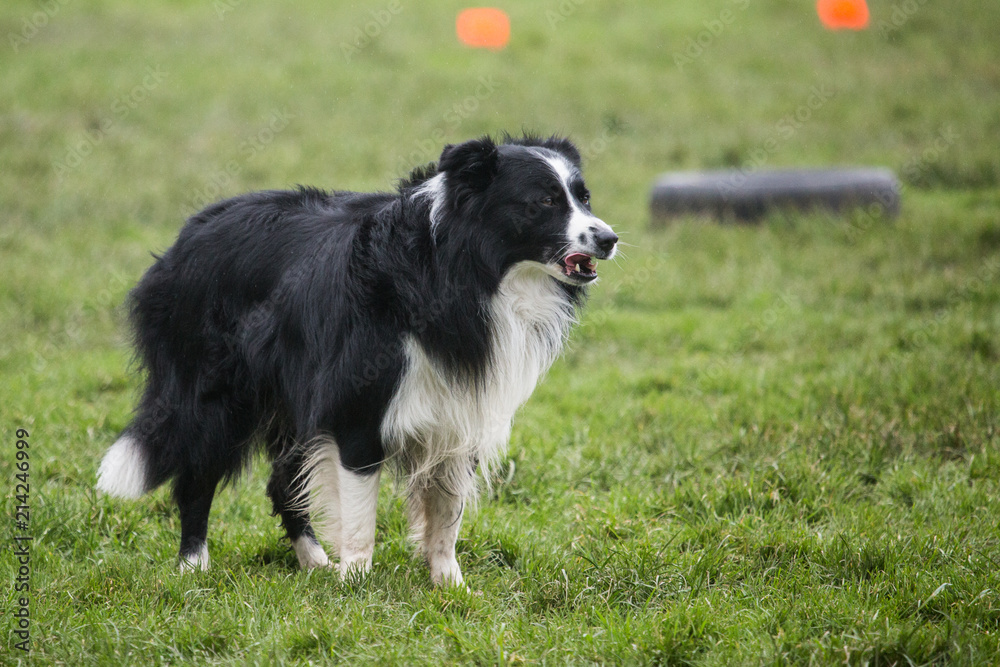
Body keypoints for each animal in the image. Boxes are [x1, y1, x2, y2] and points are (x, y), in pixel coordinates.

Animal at [99, 134, 616, 584]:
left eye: (585, 198)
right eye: (544, 202)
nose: (608, 239)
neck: (469, 271)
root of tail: (185, 236)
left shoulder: (463, 405)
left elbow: (447, 510)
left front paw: (451, 586)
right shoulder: (356, 397)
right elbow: (360, 506)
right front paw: (356, 586)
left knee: (283, 480)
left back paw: (313, 563)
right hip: (212, 375)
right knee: (198, 466)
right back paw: (194, 567)